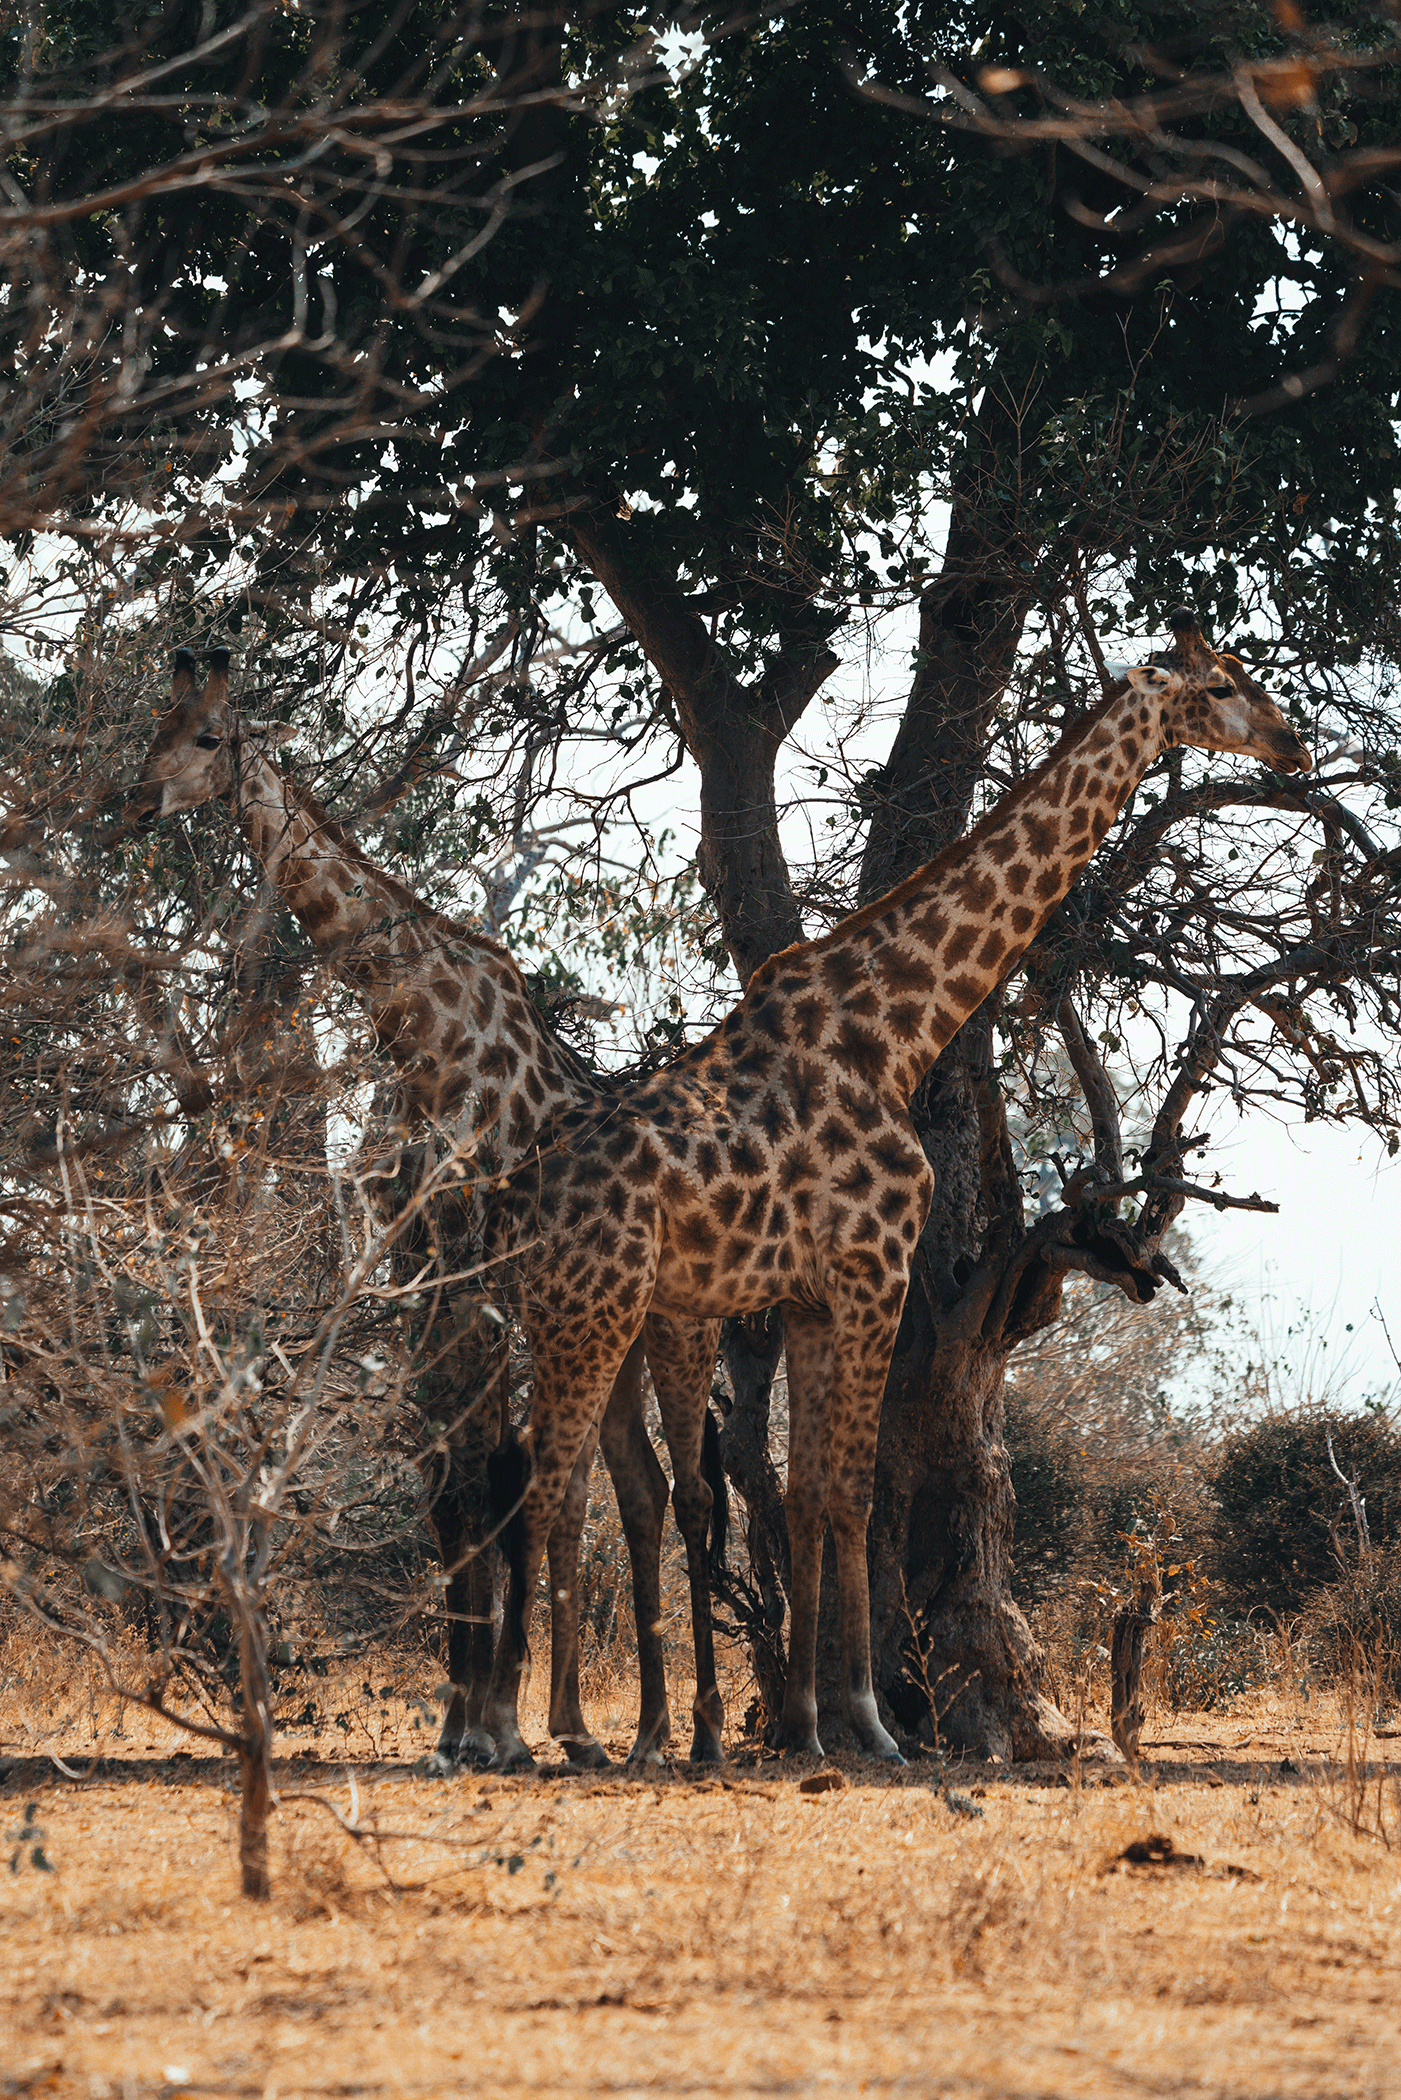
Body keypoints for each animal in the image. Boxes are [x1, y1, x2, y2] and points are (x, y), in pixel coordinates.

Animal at [128, 645, 723, 1768]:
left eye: (211, 736)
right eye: (157, 726)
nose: (138, 799)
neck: (425, 1037)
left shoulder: (479, 1276)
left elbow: (489, 1481)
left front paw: (498, 1724)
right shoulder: (421, 1278)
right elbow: (453, 1490)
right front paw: (464, 1723)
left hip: (672, 1323)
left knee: (684, 1489)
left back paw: (685, 1729)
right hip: (608, 1335)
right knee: (639, 1488)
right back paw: (643, 1731)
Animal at [472, 610, 1313, 1767]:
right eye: (1226, 683)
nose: (1294, 744)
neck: (897, 1032)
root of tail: (512, 1205)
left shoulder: (814, 1297)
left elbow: (810, 1495)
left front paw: (814, 1723)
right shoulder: (873, 1273)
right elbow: (854, 1493)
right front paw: (871, 1723)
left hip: (573, 1315)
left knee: (567, 1481)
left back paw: (567, 1729)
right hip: (590, 1311)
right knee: (546, 1484)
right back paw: (527, 1733)